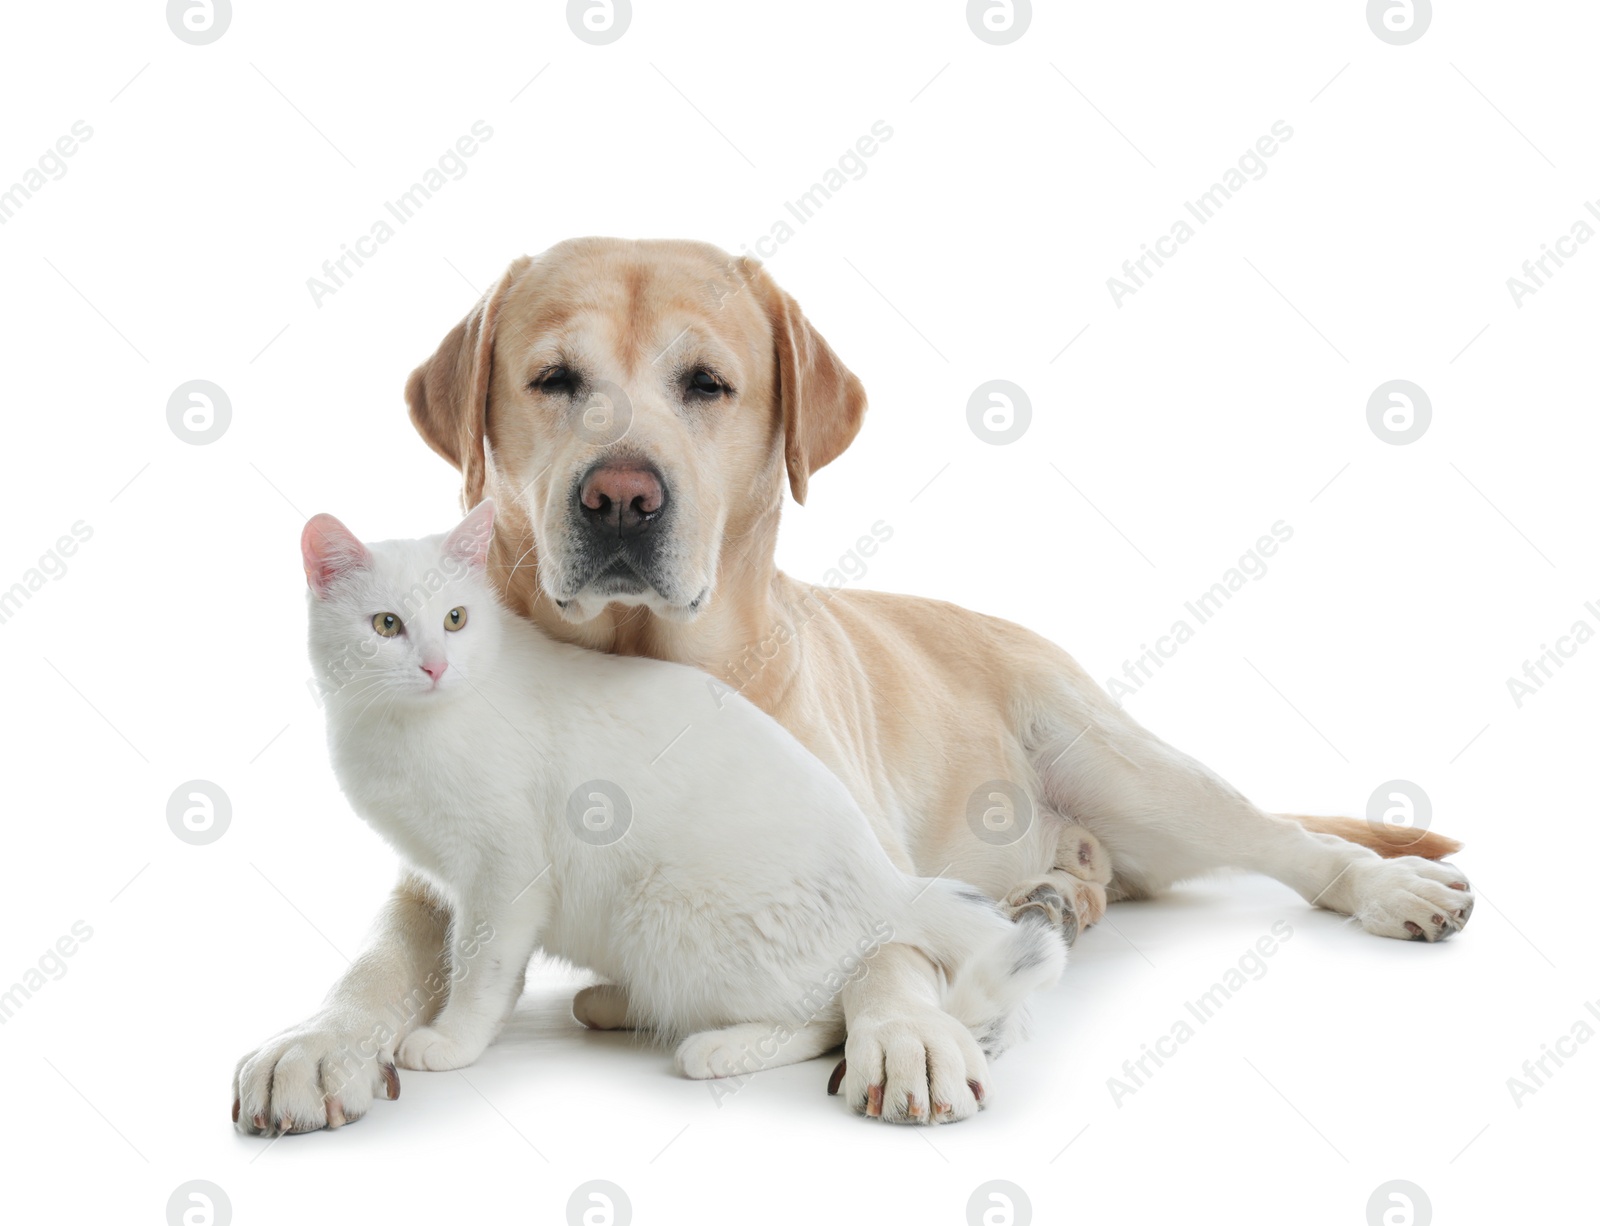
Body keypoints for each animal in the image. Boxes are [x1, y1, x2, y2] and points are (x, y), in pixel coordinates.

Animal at [264, 505, 1062, 1126]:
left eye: (456, 619)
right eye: (386, 625)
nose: (434, 665)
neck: (409, 723)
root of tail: (889, 881)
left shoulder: (504, 870)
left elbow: (482, 967)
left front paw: (454, 1040)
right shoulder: (449, 882)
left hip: (669, 918)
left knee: (827, 1015)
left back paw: (716, 1046)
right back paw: (615, 1002)